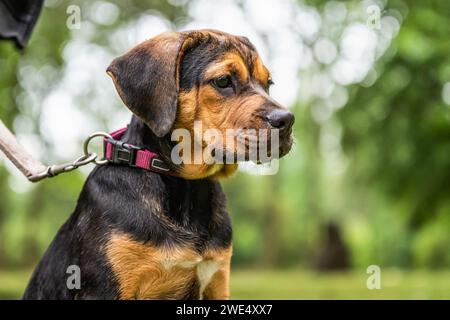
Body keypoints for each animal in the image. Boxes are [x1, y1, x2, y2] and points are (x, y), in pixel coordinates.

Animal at [22, 28, 296, 298]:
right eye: (223, 81)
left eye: (268, 84)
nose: (287, 120)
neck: (186, 185)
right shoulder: (106, 287)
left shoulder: (217, 280)